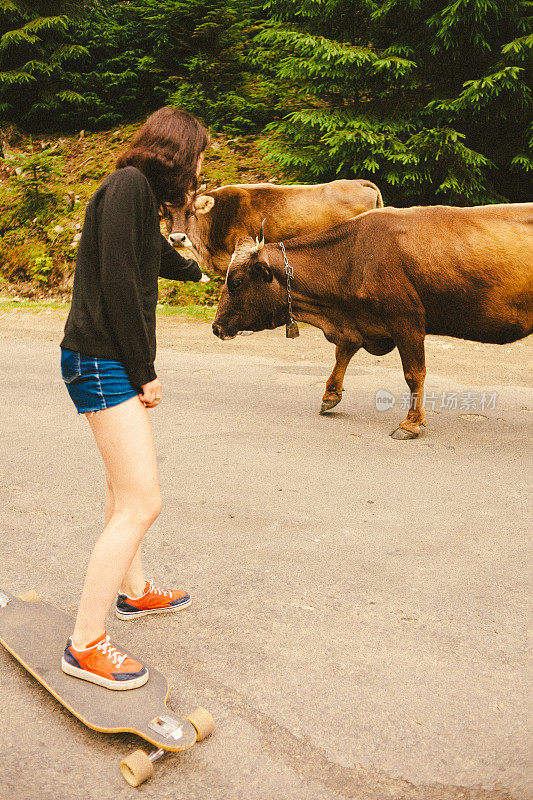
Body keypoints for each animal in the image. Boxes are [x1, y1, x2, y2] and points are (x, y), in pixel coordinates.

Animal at [210, 200, 528, 438]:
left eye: (236, 282)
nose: (215, 327)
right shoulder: (358, 324)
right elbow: (343, 352)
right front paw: (330, 395)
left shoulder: (407, 321)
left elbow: (414, 373)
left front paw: (411, 423)